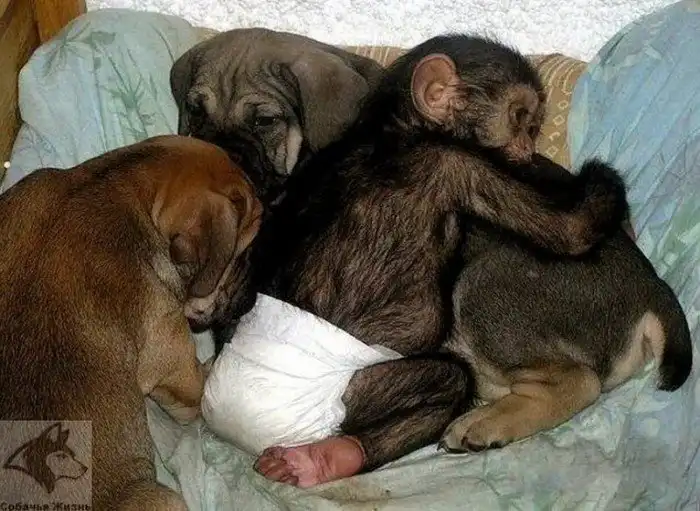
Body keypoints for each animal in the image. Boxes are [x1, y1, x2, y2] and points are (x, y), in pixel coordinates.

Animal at [0, 135, 262, 510]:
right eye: (243, 253)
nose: (249, 299)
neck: (109, 184)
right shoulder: (175, 365)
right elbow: (198, 389)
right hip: (166, 498)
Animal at [249, 34, 630, 488]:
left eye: (533, 127)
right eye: (520, 118)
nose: (526, 149)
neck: (396, 130)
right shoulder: (459, 163)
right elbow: (570, 230)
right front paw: (601, 179)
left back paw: (317, 460)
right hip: (360, 388)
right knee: (453, 380)